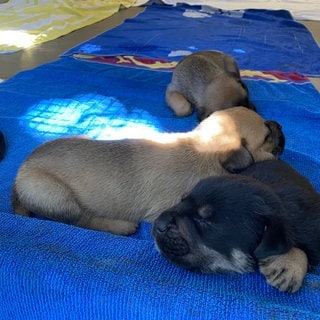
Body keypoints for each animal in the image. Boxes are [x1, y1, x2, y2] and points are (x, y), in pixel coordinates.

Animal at [11, 106, 284, 234]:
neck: (203, 149)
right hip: (54, 193)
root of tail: (17, 178)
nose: (279, 125)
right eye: (266, 135)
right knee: (81, 219)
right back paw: (120, 227)